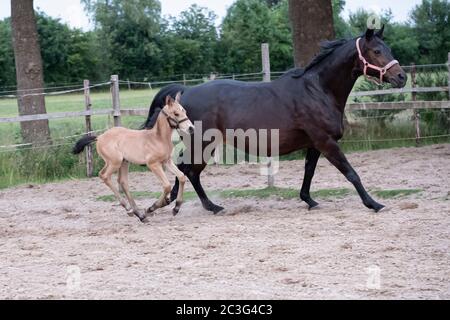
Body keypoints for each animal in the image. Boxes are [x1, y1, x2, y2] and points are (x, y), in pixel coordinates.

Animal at [144, 26, 408, 212]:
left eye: (388, 49)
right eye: (377, 51)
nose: (401, 77)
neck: (318, 90)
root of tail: (185, 91)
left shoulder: (315, 144)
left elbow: (309, 171)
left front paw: (309, 200)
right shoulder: (326, 142)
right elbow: (351, 173)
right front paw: (374, 204)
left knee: (184, 168)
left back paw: (176, 202)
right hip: (203, 143)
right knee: (189, 170)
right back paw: (208, 206)